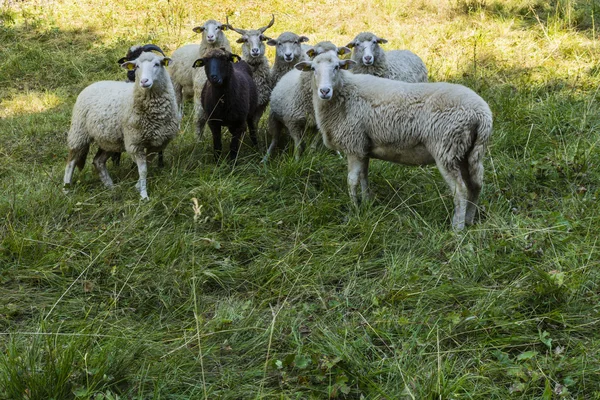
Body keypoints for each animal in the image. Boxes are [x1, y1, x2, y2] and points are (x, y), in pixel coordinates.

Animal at [64, 52, 180, 199]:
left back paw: (110, 187)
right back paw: (66, 189)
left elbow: (147, 165)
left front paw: (137, 186)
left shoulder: (158, 143)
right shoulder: (135, 142)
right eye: (136, 66)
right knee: (71, 162)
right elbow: (143, 169)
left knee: (98, 161)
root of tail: (93, 84)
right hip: (79, 132)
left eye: (157, 64)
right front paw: (144, 195)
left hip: (109, 139)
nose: (144, 81)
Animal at [296, 52, 492, 231]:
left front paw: (354, 208)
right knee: (475, 186)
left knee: (460, 191)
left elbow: (352, 180)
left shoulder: (354, 145)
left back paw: (457, 229)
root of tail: (482, 114)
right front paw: (366, 203)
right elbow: (364, 177)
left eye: (337, 67)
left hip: (447, 149)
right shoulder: (363, 147)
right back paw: (469, 220)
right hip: (468, 152)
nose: (324, 91)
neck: (344, 95)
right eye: (313, 69)